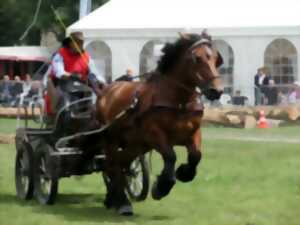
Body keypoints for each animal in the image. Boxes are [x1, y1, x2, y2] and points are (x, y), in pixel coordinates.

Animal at [95, 31, 224, 214]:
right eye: (197, 58)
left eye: (216, 58)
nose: (216, 90)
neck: (179, 101)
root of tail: (106, 89)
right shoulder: (154, 134)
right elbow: (170, 156)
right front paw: (161, 187)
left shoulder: (193, 132)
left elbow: (195, 156)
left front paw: (184, 173)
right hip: (111, 139)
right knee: (111, 165)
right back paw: (122, 201)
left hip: (135, 145)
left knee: (121, 163)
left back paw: (112, 198)